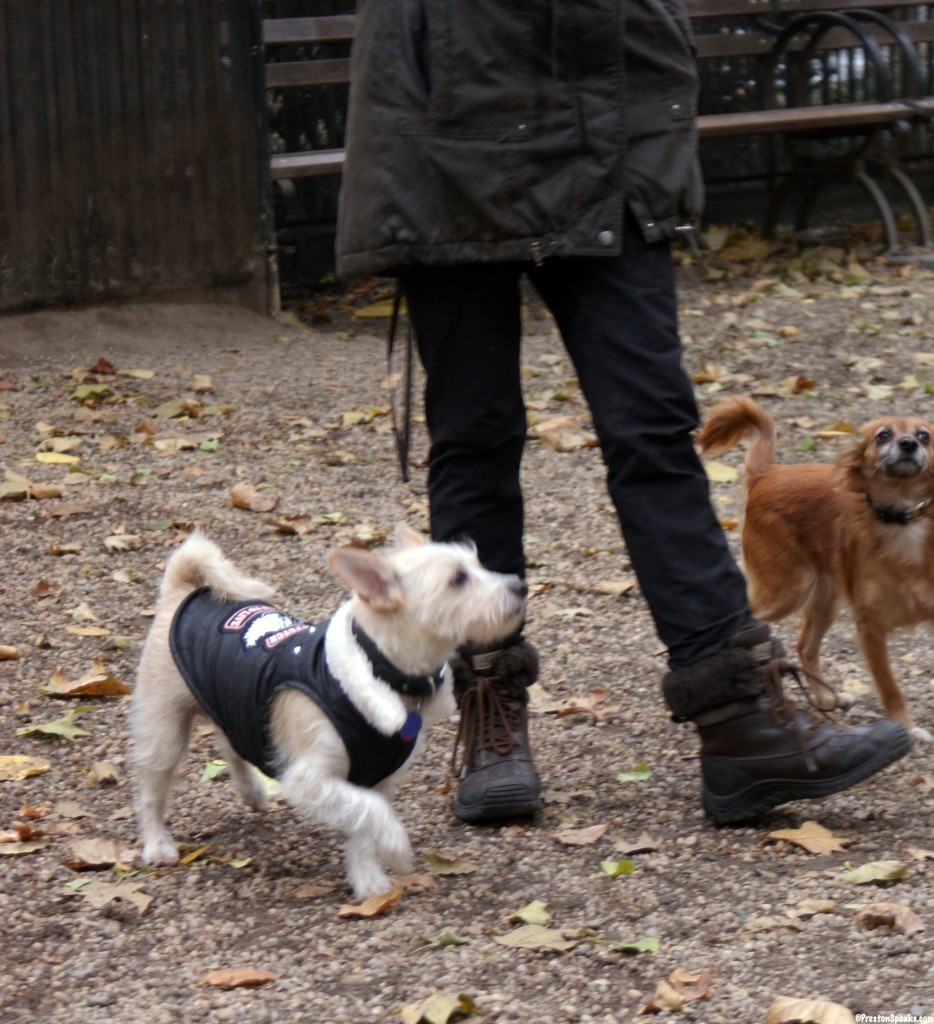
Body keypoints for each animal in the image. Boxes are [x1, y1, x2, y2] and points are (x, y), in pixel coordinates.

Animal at [131, 524, 528, 901]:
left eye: (478, 563)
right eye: (458, 578)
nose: (520, 585)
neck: (384, 673)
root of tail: (184, 590)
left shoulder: (378, 779)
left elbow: (365, 825)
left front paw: (368, 881)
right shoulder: (311, 780)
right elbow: (372, 812)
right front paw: (396, 847)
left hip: (232, 701)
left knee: (230, 743)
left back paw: (252, 792)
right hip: (164, 730)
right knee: (151, 791)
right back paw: (157, 844)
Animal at [700, 395, 934, 741]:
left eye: (924, 436)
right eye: (883, 436)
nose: (907, 444)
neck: (902, 521)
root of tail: (767, 474)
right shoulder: (870, 627)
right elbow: (890, 689)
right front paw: (907, 729)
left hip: (826, 598)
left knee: (805, 646)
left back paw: (824, 699)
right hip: (786, 591)